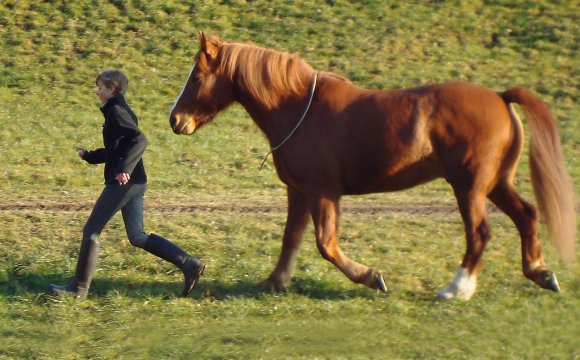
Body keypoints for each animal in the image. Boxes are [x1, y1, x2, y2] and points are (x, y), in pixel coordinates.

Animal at [168, 31, 576, 300]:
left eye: (197, 76)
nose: (175, 120)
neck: (299, 109)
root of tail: (499, 96)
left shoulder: (322, 192)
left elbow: (325, 244)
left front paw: (371, 277)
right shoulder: (298, 191)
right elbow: (291, 239)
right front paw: (275, 282)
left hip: (470, 186)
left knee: (479, 233)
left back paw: (456, 288)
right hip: (495, 183)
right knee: (527, 215)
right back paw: (541, 273)